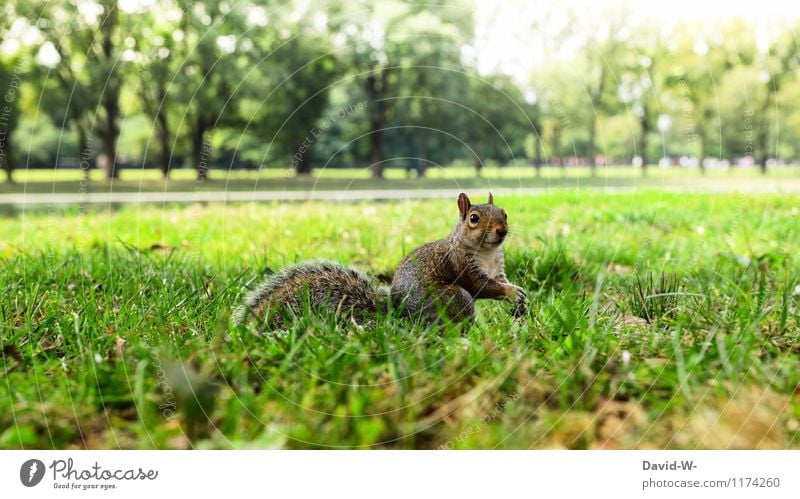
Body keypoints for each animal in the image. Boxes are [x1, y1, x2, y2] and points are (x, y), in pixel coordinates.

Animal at [233, 193, 524, 330]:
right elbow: (481, 286)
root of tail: (398, 310)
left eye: (504, 213)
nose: (501, 230)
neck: (486, 252)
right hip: (452, 297)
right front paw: (511, 293)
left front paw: (518, 294)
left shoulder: (497, 267)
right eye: (474, 218)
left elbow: (499, 281)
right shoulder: (461, 264)